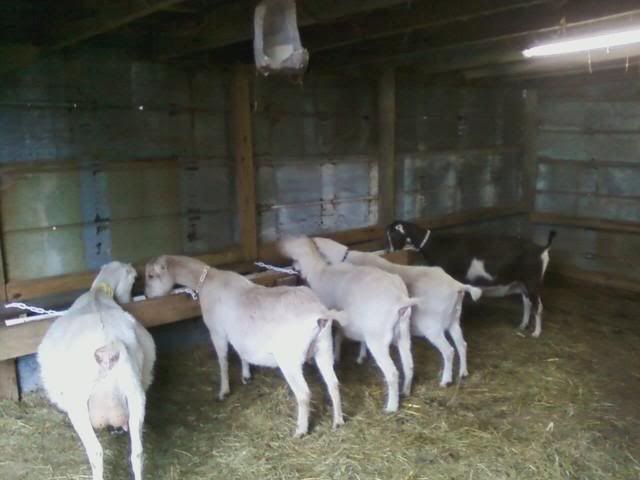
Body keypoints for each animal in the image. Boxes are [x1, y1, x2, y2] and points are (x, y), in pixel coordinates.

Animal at [38, 261, 156, 480]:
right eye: (135, 280)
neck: (98, 294)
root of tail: (107, 350)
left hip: (78, 404)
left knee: (96, 451)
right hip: (136, 396)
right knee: (137, 452)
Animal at [144, 255, 344, 437]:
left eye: (151, 275)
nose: (147, 296)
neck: (207, 280)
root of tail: (320, 313)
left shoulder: (217, 331)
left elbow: (222, 359)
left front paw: (223, 391)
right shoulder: (239, 334)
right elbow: (242, 352)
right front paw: (246, 375)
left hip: (289, 359)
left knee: (304, 394)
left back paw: (300, 430)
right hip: (324, 347)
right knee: (333, 383)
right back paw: (338, 421)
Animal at [279, 236, 419, 412]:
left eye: (294, 258)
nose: (292, 267)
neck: (320, 270)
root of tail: (400, 300)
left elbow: (336, 335)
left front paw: (334, 356)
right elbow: (341, 334)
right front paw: (353, 355)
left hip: (378, 338)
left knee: (393, 373)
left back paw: (391, 407)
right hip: (404, 332)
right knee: (409, 364)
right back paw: (406, 390)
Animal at [312, 237, 482, 386]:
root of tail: (457, 286)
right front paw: (361, 355)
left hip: (433, 327)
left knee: (448, 351)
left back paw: (445, 380)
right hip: (453, 319)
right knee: (462, 344)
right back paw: (463, 372)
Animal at [387, 221, 556, 337]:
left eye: (393, 234)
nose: (388, 251)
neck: (436, 245)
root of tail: (542, 248)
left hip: (532, 282)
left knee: (538, 306)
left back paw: (536, 333)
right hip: (522, 283)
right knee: (527, 303)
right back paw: (522, 325)